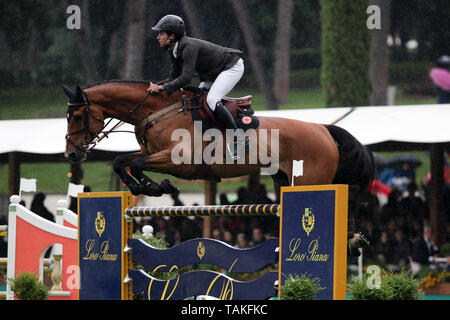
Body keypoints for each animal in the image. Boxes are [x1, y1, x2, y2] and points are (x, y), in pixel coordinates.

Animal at [61, 80, 374, 201]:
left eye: (76, 116)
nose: (71, 155)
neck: (157, 112)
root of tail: (323, 129)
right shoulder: (151, 153)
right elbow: (121, 161)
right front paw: (145, 187)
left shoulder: (179, 161)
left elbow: (136, 164)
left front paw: (158, 186)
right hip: (284, 180)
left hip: (310, 180)